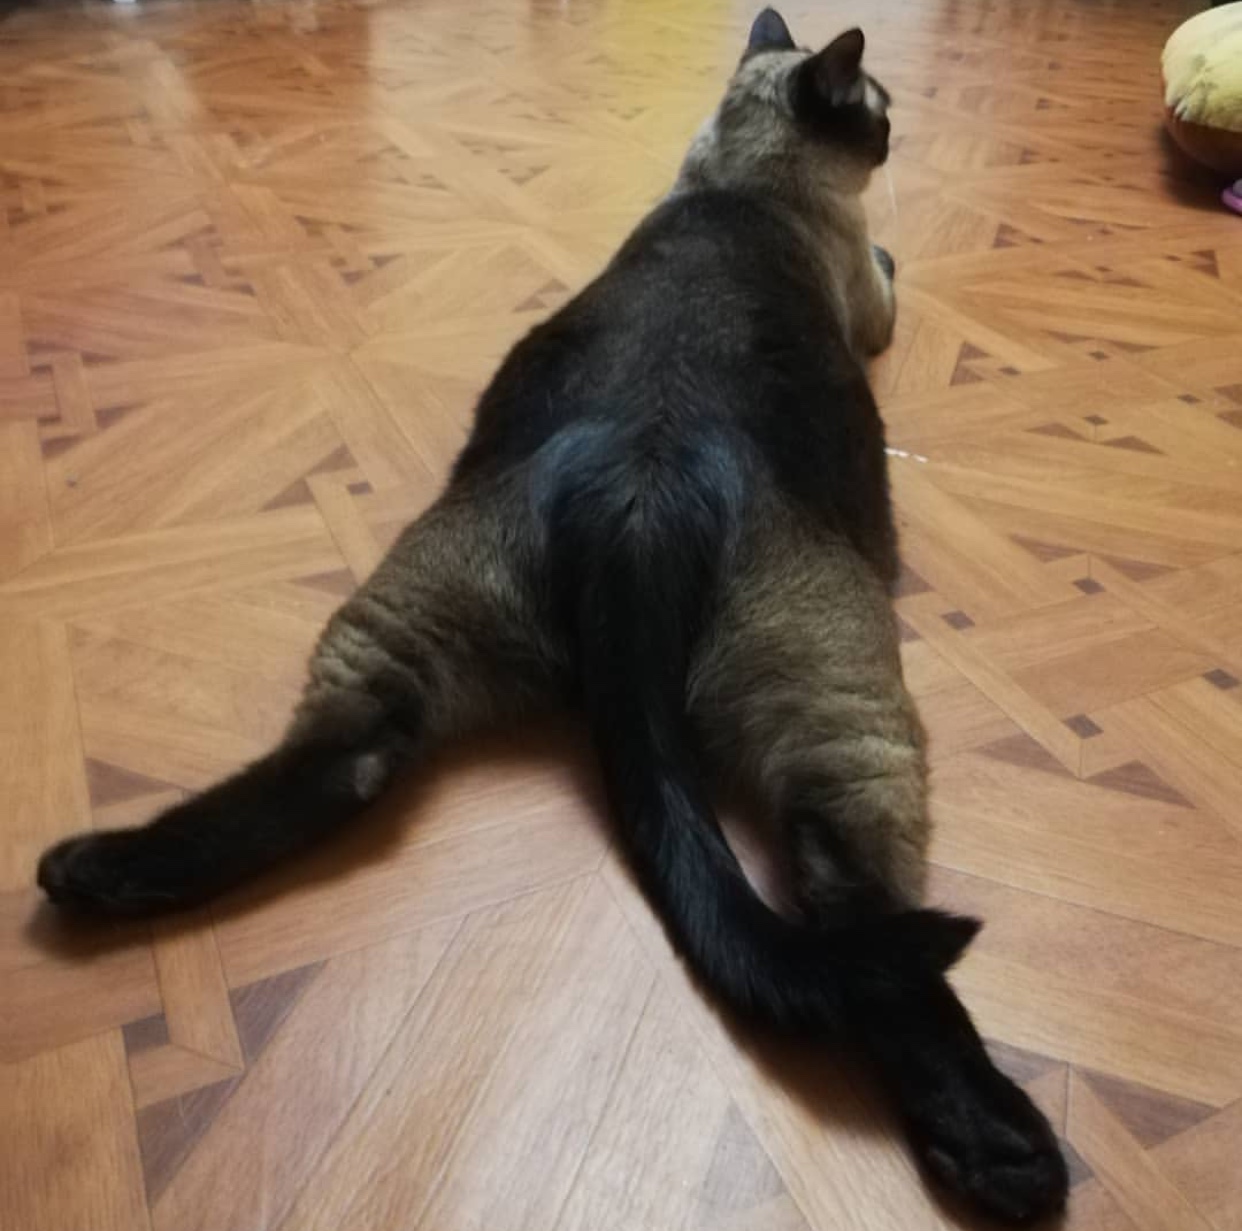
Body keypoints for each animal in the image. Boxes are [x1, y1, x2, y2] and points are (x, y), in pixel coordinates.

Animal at [38, 14, 1068, 1227]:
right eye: (881, 113)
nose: (899, 133)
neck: (736, 185)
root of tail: (642, 494)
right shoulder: (871, 295)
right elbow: (892, 274)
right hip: (852, 711)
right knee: (859, 918)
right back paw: (1004, 1147)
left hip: (400, 628)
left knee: (344, 758)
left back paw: (92, 872)